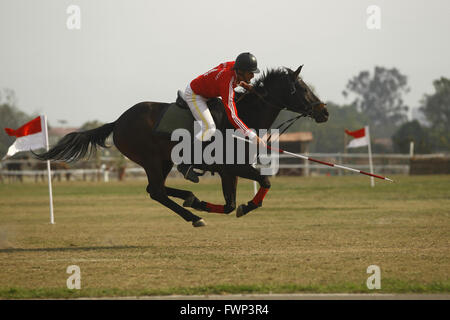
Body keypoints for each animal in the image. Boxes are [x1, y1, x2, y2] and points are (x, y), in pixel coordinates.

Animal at [33, 66, 328, 228]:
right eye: (302, 89)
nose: (324, 112)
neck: (244, 116)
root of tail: (118, 121)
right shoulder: (232, 167)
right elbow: (263, 183)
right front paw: (243, 206)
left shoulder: (230, 171)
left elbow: (231, 204)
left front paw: (218, 205)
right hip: (151, 159)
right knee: (156, 191)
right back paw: (193, 214)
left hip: (163, 161)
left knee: (158, 189)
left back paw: (191, 198)